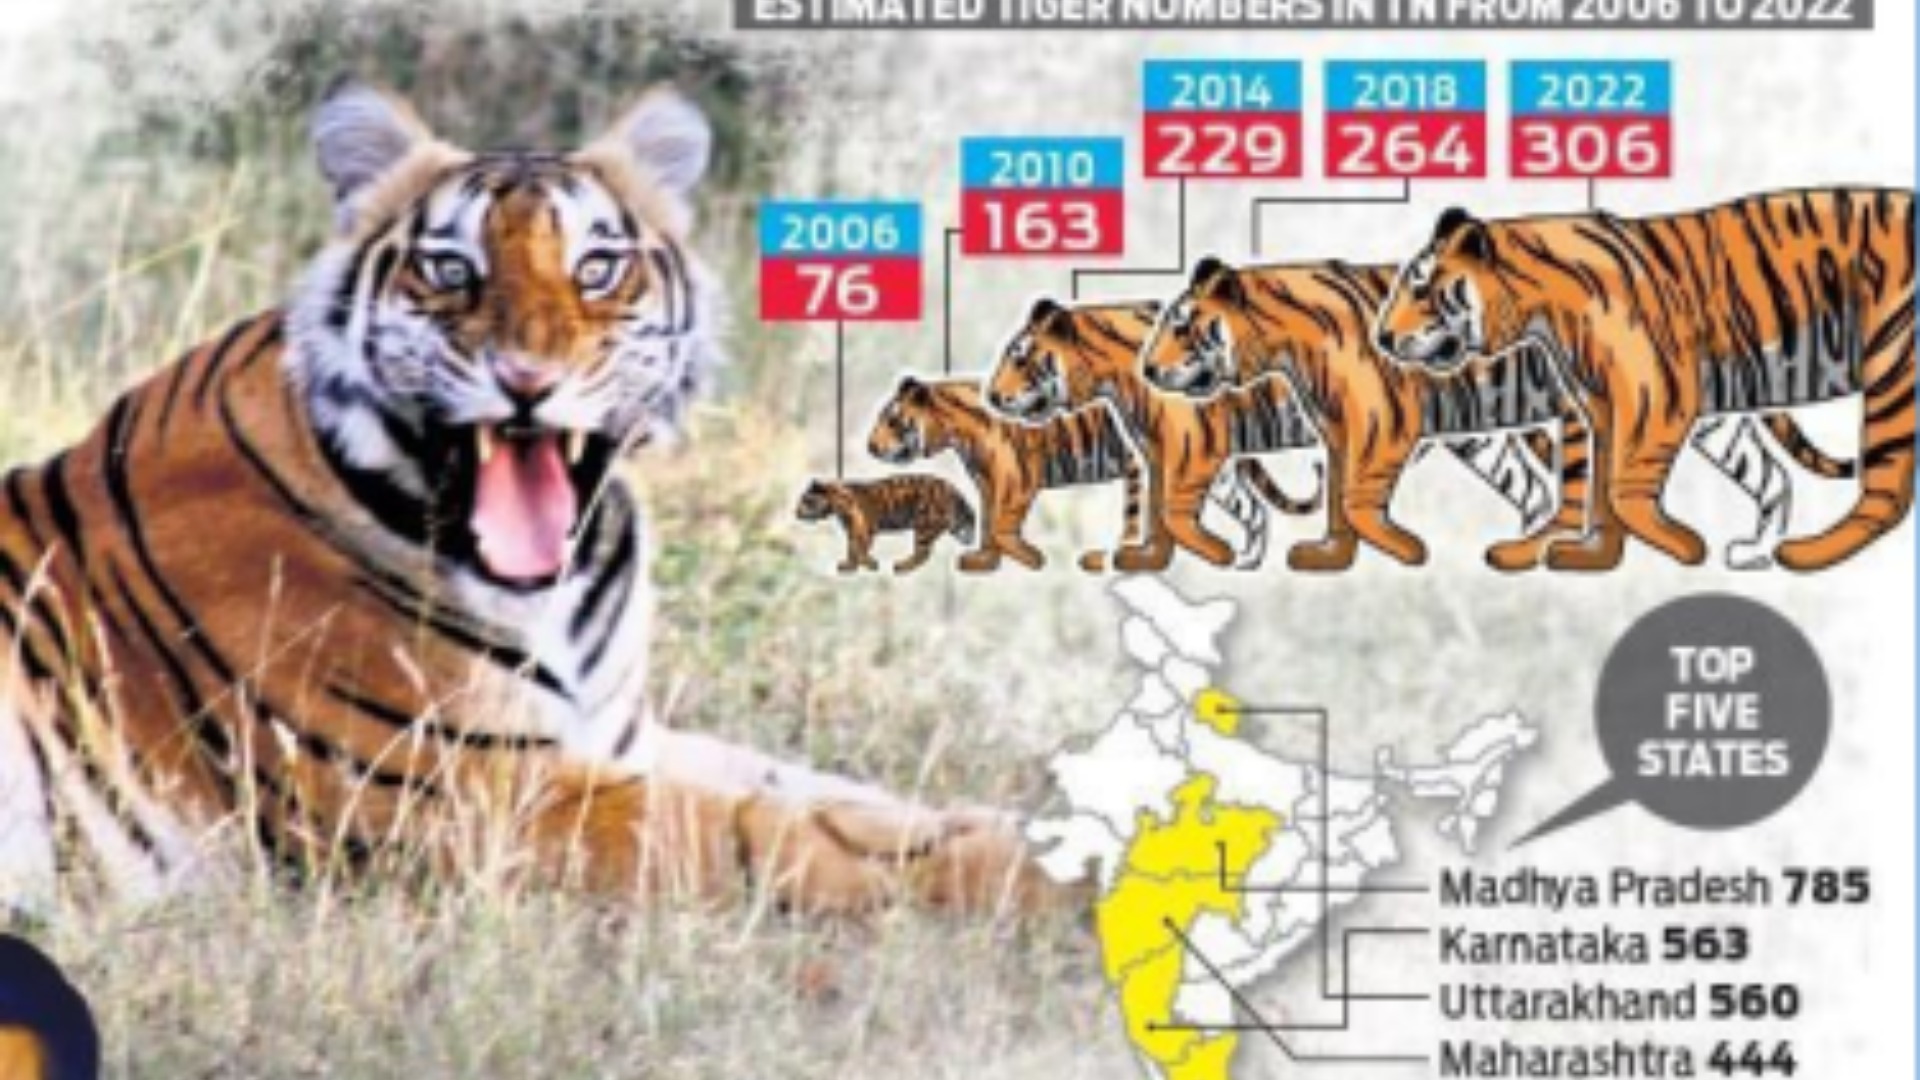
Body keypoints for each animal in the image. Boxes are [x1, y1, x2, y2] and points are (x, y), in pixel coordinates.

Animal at [793, 475, 977, 574]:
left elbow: (859, 548)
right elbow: (852, 548)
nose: (796, 513)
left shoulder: (864, 529)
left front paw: (868, 564)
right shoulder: (853, 531)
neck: (837, 506)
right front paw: (850, 566)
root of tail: (952, 490)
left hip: (924, 527)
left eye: (806, 501)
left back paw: (901, 566)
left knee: (922, 553)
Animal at [865, 375, 1315, 573]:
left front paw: (1027, 557)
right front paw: (982, 559)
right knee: (1254, 511)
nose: (869, 447)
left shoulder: (1015, 482)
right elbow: (988, 524)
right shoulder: (989, 484)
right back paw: (1245, 560)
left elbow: (1003, 524)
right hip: (1215, 474)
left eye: (892, 420)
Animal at [991, 298, 1572, 572]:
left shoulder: (1192, 450)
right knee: (1533, 489)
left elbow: (1165, 510)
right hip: (1478, 433)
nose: (991, 398)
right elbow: (1165, 512)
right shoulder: (1165, 454)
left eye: (1019, 358)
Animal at [1144, 256, 1856, 572]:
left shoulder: (1379, 427)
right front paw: (1330, 553)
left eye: (1182, 327)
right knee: (1767, 473)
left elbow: (1353, 496)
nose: (1147, 372)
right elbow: (1338, 502)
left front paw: (1395, 549)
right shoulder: (1343, 432)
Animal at [1374, 189, 1912, 572]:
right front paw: (1593, 556)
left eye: (1421, 290)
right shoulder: (1604, 405)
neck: (1541, 312)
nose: (1380, 337)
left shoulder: (1655, 395)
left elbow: (1619, 486)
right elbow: (1602, 487)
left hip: (1892, 366)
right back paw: (1759, 552)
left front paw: (1684, 545)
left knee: (1886, 489)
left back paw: (1808, 553)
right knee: (1776, 476)